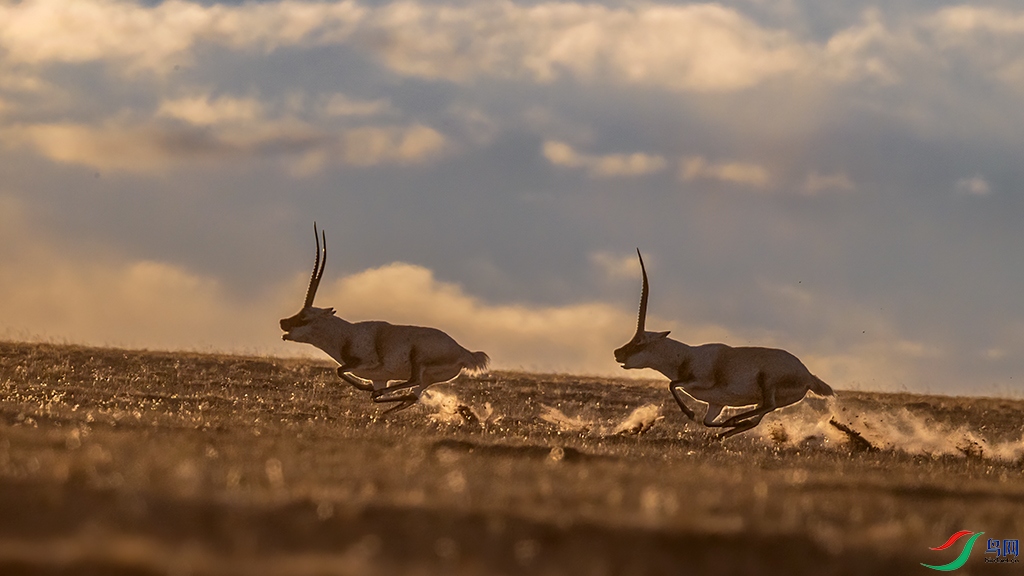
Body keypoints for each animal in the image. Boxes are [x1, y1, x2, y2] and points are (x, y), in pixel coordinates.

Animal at [280, 224, 490, 413]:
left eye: (304, 316)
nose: (283, 323)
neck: (347, 334)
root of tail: (464, 352)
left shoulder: (366, 363)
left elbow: (339, 371)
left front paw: (367, 388)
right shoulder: (379, 378)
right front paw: (373, 391)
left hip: (418, 359)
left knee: (413, 382)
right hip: (429, 379)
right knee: (413, 394)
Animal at [614, 250, 833, 438]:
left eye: (639, 341)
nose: (617, 353)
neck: (686, 355)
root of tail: (808, 375)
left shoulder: (700, 380)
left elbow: (672, 384)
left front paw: (691, 413)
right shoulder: (715, 404)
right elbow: (707, 421)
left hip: (768, 382)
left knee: (767, 406)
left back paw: (733, 421)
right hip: (774, 399)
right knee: (759, 416)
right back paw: (726, 431)